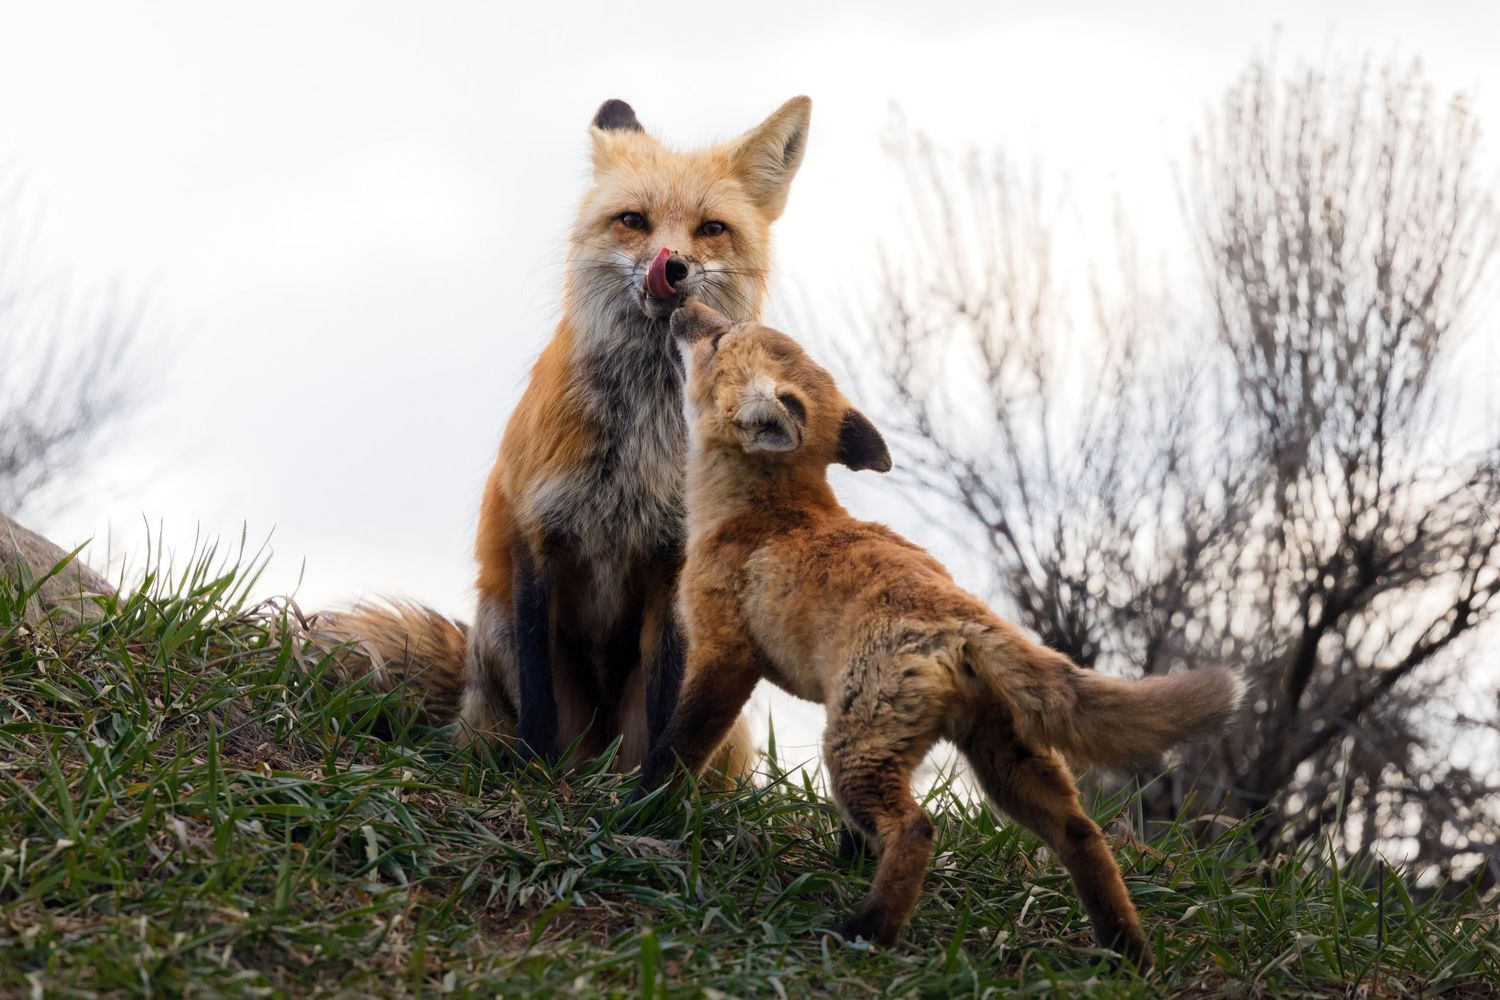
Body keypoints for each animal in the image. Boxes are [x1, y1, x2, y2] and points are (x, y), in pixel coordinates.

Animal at [317, 97, 813, 777]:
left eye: (711, 228)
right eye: (633, 221)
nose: (672, 266)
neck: (633, 447)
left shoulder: (673, 559)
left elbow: (666, 705)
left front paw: (659, 793)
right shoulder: (536, 537)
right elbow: (540, 697)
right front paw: (533, 775)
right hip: (495, 630)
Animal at [636, 300, 1246, 966]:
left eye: (718, 340)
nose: (682, 302)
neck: (761, 512)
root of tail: (963, 615)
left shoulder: (723, 655)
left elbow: (676, 749)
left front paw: (641, 813)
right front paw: (843, 866)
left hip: (857, 751)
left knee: (917, 828)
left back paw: (866, 933)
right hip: (1002, 762)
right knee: (1081, 831)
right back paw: (1127, 953)